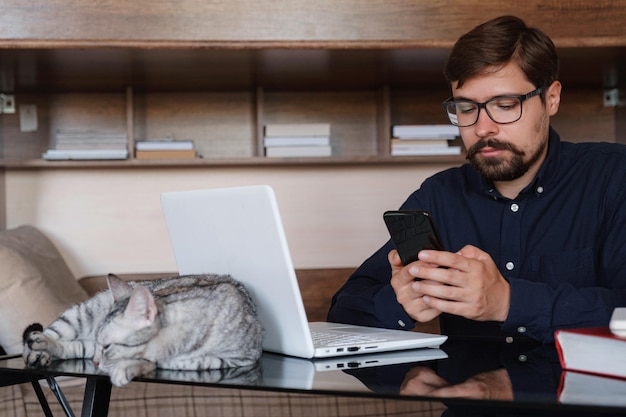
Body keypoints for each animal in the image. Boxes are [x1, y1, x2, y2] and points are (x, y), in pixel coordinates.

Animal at [22, 272, 264, 386]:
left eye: (107, 347)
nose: (96, 362)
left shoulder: (239, 359)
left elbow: (188, 362)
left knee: (73, 347)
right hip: (81, 314)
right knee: (49, 337)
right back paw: (39, 348)